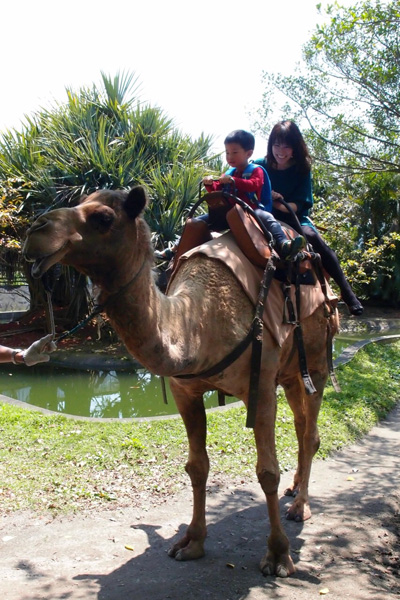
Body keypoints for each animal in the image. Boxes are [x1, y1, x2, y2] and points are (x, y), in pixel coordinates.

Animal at [23, 186, 340, 576]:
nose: (35, 229)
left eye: (103, 218)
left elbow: (267, 472)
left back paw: (300, 508)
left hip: (317, 357)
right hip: (292, 372)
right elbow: (196, 467)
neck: (199, 322)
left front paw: (279, 555)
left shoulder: (262, 385)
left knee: (309, 432)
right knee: (300, 423)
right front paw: (191, 542)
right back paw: (296, 490)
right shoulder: (184, 389)